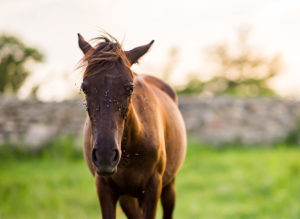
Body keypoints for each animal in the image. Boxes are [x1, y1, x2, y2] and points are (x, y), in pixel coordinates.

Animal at [77, 33, 185, 219]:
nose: (105, 155)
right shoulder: (105, 189)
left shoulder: (153, 188)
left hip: (169, 185)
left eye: (130, 87)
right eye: (85, 88)